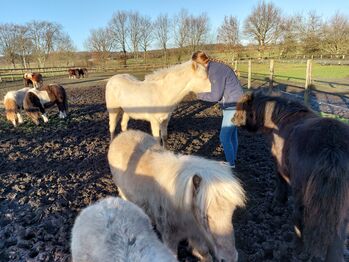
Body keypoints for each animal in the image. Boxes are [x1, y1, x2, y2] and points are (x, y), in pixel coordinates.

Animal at [107, 130, 246, 260]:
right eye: (205, 217)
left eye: (232, 212)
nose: (230, 258)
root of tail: (121, 135)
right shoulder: (170, 237)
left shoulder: (195, 232)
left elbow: (204, 252)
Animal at [231, 90, 348, 262]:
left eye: (243, 107)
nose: (232, 119)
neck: (279, 118)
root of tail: (333, 144)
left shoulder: (278, 164)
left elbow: (280, 183)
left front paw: (278, 202)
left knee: (299, 216)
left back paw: (297, 248)